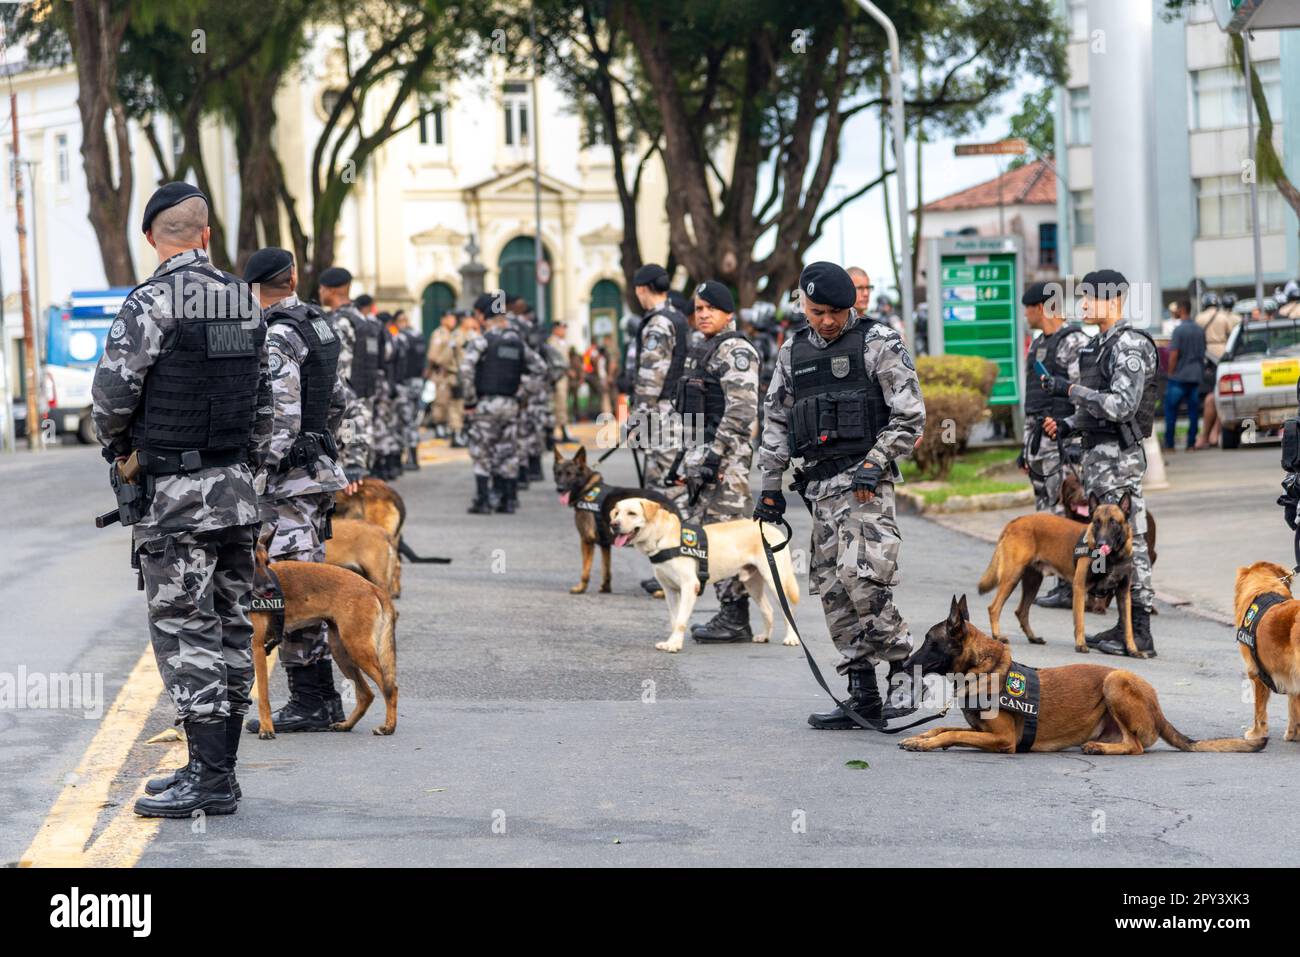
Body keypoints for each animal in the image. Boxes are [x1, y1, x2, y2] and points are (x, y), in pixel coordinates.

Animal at [249, 546, 395, 738]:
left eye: (266, 562)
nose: (270, 589)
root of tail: (371, 587)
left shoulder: (258, 648)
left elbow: (263, 697)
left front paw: (266, 728)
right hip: (342, 652)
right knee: (366, 694)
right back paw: (346, 724)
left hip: (357, 648)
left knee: (389, 688)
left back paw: (389, 726)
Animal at [608, 496, 800, 655]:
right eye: (617, 513)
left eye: (632, 513)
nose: (614, 525)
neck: (662, 537)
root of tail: (771, 528)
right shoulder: (669, 590)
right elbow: (674, 619)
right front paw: (672, 641)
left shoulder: (689, 586)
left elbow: (680, 620)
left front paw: (674, 644)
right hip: (752, 582)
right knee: (768, 610)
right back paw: (764, 636)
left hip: (775, 580)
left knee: (788, 610)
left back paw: (792, 638)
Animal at [899, 598, 1263, 754]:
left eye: (929, 641)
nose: (903, 664)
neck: (983, 669)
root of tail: (1158, 709)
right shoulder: (979, 730)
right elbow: (944, 727)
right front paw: (922, 736)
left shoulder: (1004, 740)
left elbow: (952, 733)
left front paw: (926, 743)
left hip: (1114, 681)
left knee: (1136, 747)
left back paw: (1099, 749)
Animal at [977, 494, 1149, 657]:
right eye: (1096, 522)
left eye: (1113, 522)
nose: (1100, 543)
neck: (1113, 557)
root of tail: (1016, 521)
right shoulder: (1079, 587)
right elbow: (1080, 621)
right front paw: (1081, 644)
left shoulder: (1123, 594)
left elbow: (1128, 627)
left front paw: (1133, 650)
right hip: (1012, 577)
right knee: (994, 608)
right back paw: (998, 636)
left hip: (1032, 583)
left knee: (1021, 611)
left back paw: (1033, 638)